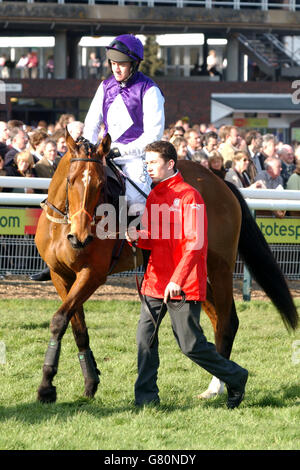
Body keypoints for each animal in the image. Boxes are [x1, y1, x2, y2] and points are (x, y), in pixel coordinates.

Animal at [35, 133, 298, 404]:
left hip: (220, 267)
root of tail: (221, 183)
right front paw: (89, 382)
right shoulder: (61, 276)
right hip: (192, 273)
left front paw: (46, 386)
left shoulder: (92, 274)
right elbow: (77, 327)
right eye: (70, 180)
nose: (80, 238)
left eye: (101, 184)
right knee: (217, 319)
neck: (62, 226)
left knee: (227, 321)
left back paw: (219, 386)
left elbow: (59, 320)